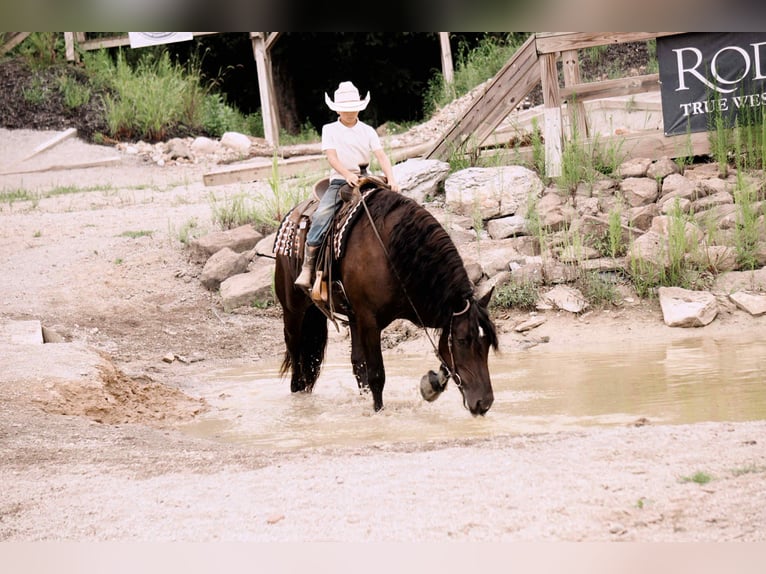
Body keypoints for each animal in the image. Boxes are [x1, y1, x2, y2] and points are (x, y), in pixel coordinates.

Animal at [273, 182, 499, 416]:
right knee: (296, 360)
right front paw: (379, 412)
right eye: (462, 340)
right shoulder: (370, 322)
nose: (484, 403)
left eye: (488, 342)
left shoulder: (362, 319)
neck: (393, 254)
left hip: (350, 318)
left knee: (354, 363)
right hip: (293, 311)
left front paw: (432, 385)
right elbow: (377, 375)